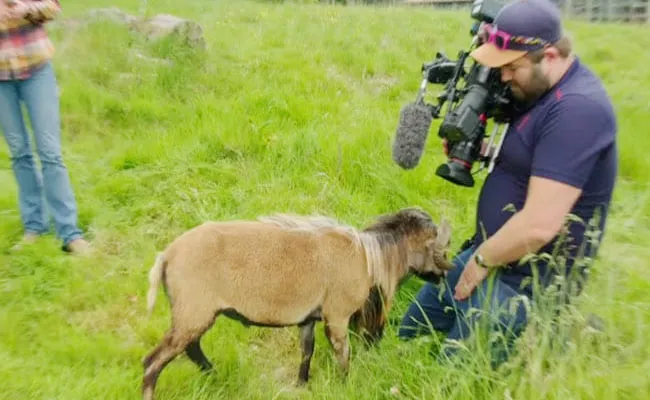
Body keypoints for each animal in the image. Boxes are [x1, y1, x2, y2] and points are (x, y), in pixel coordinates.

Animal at [140, 208, 450, 398]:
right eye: (437, 247)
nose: (443, 275)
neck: (369, 256)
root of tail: (166, 256)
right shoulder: (337, 315)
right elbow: (343, 353)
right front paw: (344, 384)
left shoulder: (308, 319)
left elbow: (306, 352)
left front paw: (302, 383)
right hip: (194, 312)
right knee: (153, 362)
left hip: (191, 314)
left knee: (189, 349)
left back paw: (214, 375)